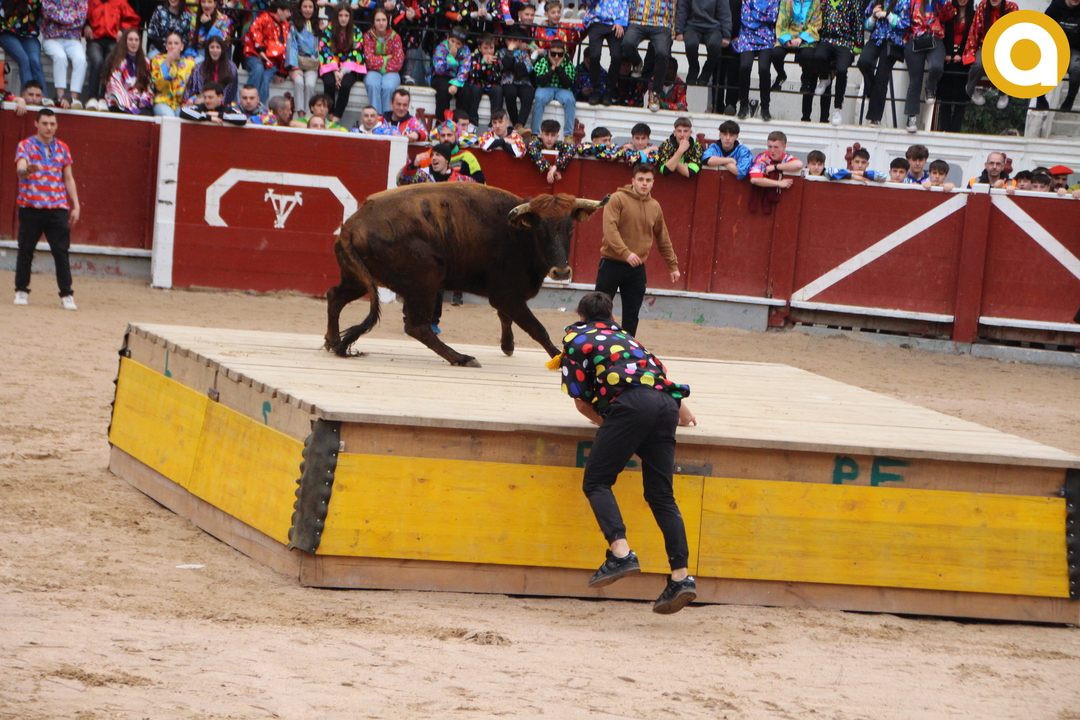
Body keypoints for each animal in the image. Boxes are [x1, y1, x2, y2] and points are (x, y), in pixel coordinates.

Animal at [325, 183, 608, 367]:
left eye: (571, 228)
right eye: (541, 229)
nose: (562, 271)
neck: (518, 235)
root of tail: (351, 227)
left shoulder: (505, 295)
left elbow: (506, 318)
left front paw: (508, 346)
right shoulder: (507, 294)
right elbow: (536, 328)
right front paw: (559, 356)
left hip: (359, 280)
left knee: (335, 296)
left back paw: (332, 341)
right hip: (424, 282)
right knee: (417, 326)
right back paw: (461, 358)